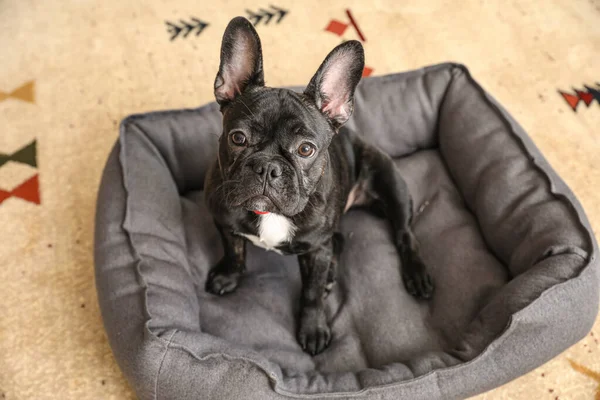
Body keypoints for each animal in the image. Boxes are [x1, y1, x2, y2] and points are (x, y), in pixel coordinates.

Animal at [204, 17, 434, 354]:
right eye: (238, 138)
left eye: (305, 149)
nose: (267, 167)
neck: (269, 216)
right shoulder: (224, 222)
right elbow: (234, 253)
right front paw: (227, 276)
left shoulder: (316, 250)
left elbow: (311, 294)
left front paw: (312, 329)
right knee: (339, 240)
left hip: (391, 182)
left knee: (404, 233)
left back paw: (416, 274)